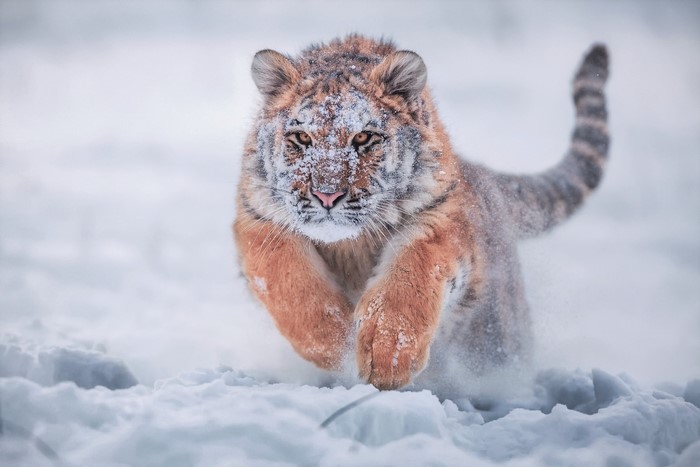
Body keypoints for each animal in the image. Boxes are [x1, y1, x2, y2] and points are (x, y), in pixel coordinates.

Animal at [234, 35, 609, 391]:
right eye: (301, 137)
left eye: (364, 138)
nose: (328, 195)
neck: (349, 245)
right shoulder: (259, 221)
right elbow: (291, 283)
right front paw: (336, 343)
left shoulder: (439, 220)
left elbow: (409, 276)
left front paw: (387, 357)